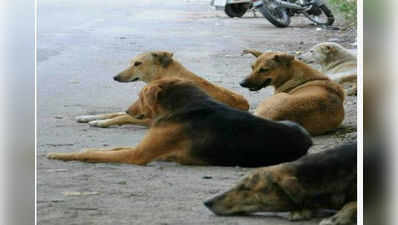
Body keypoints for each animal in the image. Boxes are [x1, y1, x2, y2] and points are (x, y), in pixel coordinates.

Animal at [48, 78, 312, 167]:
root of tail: (308, 140)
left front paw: (58, 155)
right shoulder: (143, 148)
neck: (184, 107)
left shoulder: (136, 155)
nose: (128, 110)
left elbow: (92, 153)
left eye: (140, 97)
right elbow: (105, 149)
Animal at [75, 51, 249, 128]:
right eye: (131, 62)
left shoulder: (150, 119)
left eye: (137, 63)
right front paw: (88, 117)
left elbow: (122, 116)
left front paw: (101, 122)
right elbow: (117, 113)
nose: (115, 77)